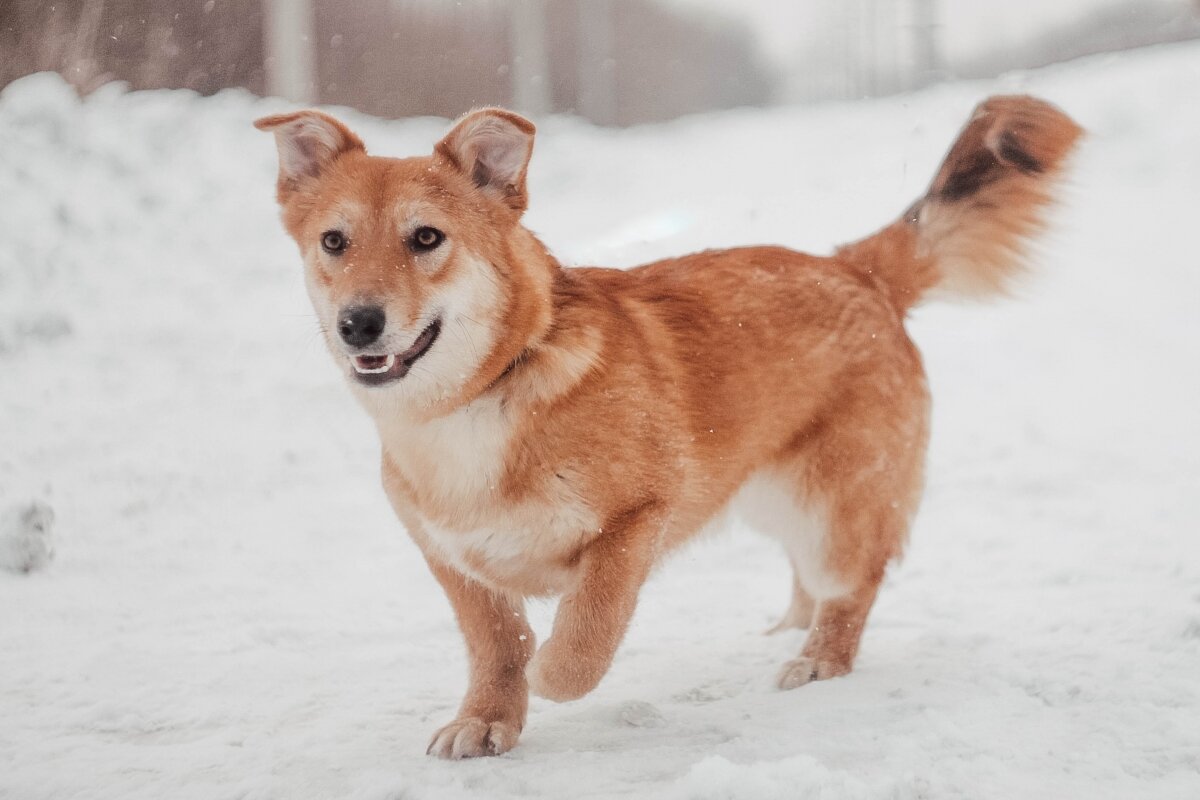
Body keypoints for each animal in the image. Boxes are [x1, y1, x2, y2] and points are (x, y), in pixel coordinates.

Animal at [258, 97, 1084, 762]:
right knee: (808, 580)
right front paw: (487, 719)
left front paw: (551, 672)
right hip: (772, 497)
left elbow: (583, 635)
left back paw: (819, 658)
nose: (358, 323)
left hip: (833, 506)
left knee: (853, 587)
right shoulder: (454, 561)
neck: (480, 397)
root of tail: (857, 270)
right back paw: (788, 629)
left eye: (426, 238)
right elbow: (495, 647)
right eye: (334, 242)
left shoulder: (636, 520)